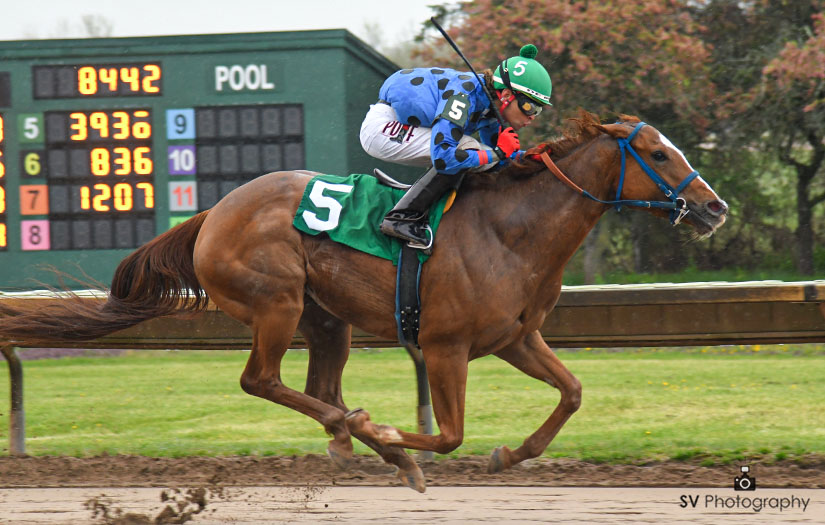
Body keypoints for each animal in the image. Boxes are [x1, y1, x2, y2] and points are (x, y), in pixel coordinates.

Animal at [0, 111, 724, 492]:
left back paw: (354, 439)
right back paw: (373, 439)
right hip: (276, 302)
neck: (511, 229)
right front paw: (396, 435)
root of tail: (213, 212)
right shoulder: (444, 345)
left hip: (326, 317)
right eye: (659, 153)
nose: (714, 208)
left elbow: (571, 392)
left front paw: (509, 454)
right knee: (261, 379)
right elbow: (450, 432)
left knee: (318, 386)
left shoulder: (514, 337)